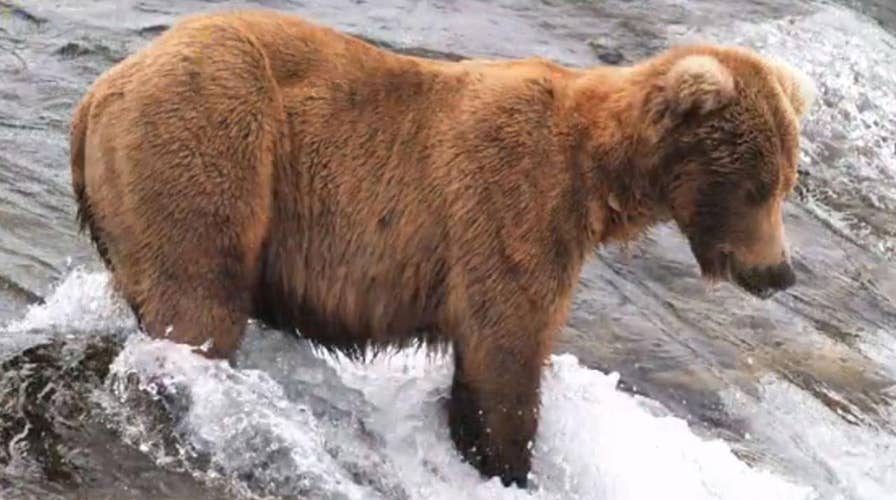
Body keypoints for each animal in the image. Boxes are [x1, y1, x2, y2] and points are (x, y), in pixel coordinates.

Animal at [69, 9, 814, 488]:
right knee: (198, 304)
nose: (779, 271)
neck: (599, 180)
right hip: (214, 137)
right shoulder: (510, 207)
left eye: (786, 181)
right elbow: (504, 354)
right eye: (758, 186)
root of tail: (99, 94)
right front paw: (505, 462)